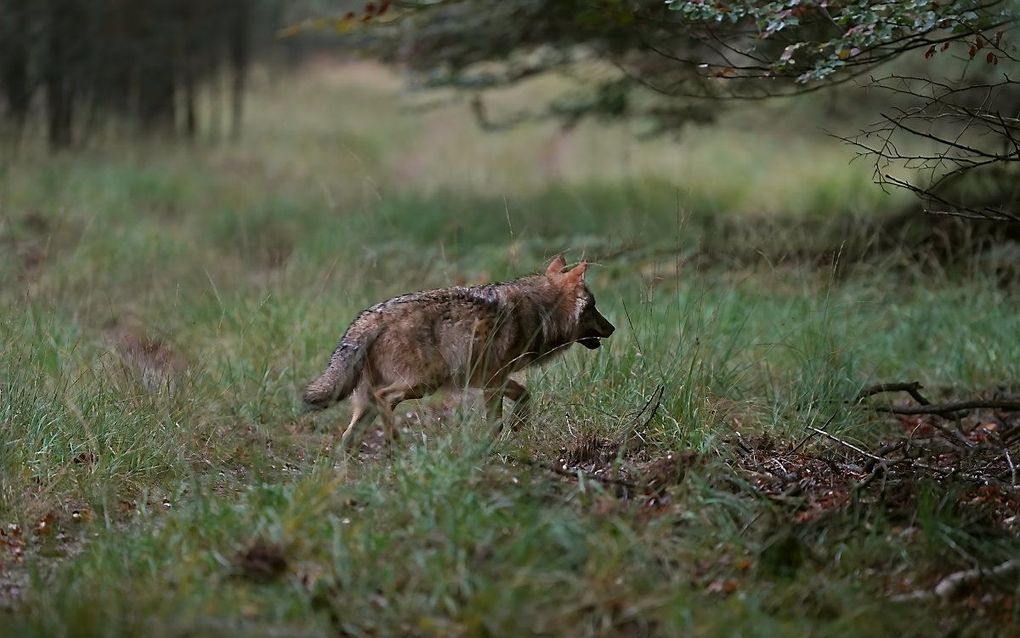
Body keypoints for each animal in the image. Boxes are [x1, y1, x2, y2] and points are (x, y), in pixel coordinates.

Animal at [303, 256, 612, 451]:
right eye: (594, 306)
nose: (613, 328)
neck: (541, 312)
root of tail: (370, 317)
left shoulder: (492, 379)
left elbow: (525, 396)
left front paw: (518, 426)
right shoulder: (493, 382)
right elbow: (496, 423)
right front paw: (490, 447)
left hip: (371, 401)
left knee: (346, 440)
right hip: (424, 384)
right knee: (385, 400)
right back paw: (397, 446)